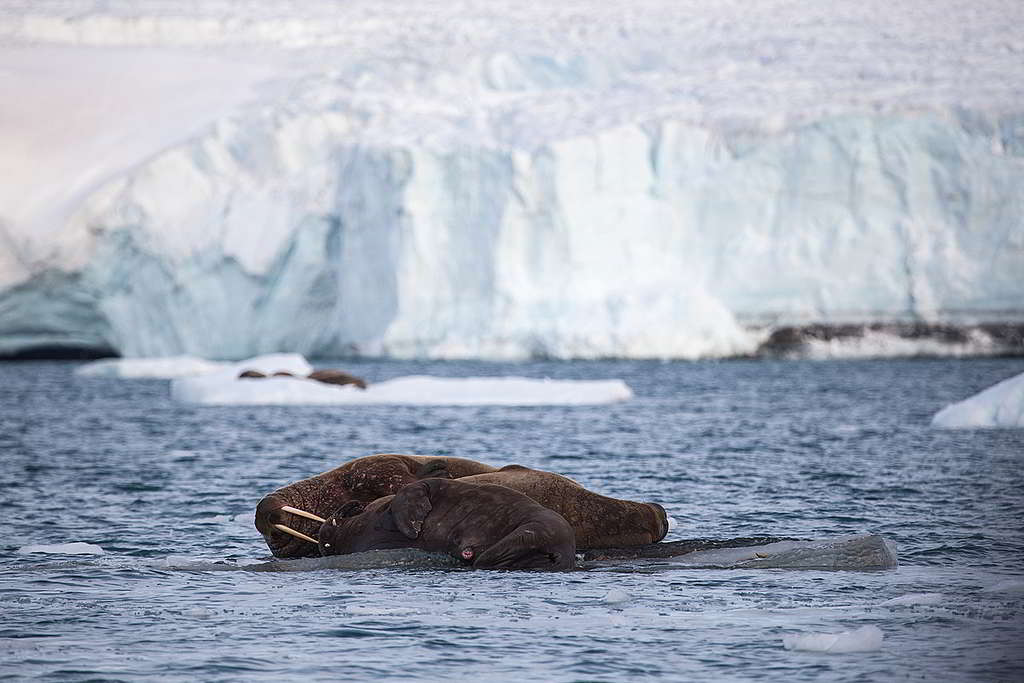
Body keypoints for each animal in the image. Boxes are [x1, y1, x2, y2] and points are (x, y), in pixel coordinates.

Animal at [317, 481, 577, 573]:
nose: (355, 504)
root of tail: (564, 554)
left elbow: (408, 492)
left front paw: (412, 527)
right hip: (533, 532)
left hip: (540, 525)